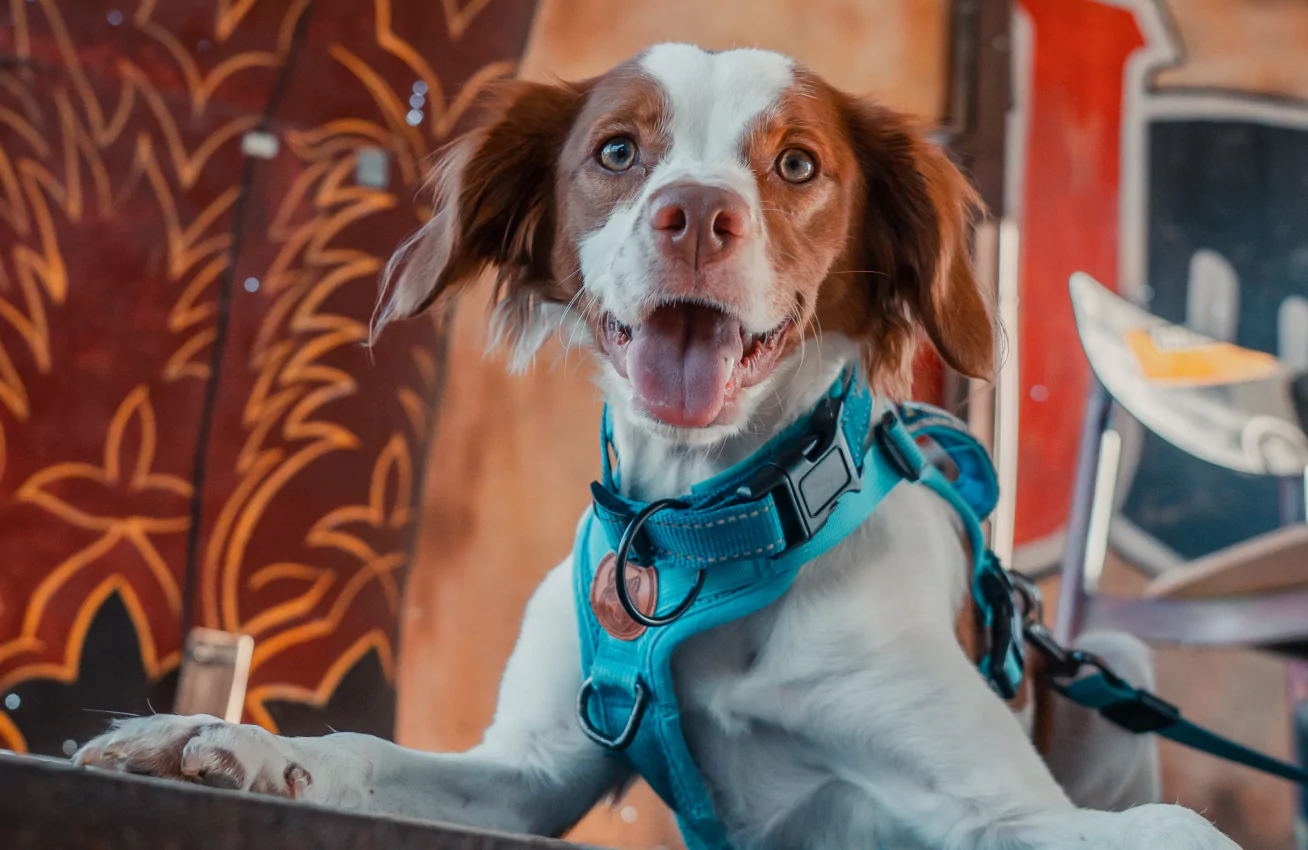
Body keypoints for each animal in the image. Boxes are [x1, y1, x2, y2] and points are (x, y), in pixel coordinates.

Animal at [76, 46, 1239, 847]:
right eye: (617, 153)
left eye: (798, 164)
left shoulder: (999, 809)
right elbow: (364, 750)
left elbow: (1168, 827)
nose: (694, 214)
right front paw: (221, 741)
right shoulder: (534, 773)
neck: (706, 532)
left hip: (1124, 674)